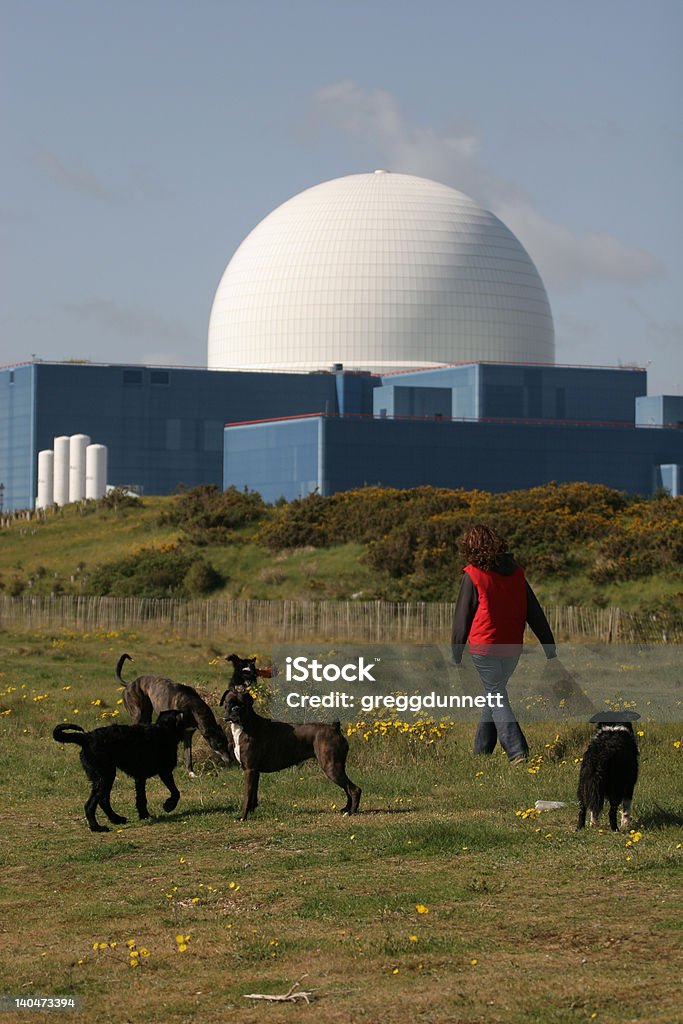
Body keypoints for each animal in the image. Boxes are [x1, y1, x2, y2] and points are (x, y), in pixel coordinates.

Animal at [52, 712, 189, 831]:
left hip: (104, 777)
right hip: (106, 776)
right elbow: (176, 792)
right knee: (91, 804)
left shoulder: (140, 777)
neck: (164, 730)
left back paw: (116, 819)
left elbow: (141, 798)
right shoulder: (165, 771)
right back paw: (97, 827)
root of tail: (86, 737)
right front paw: (168, 806)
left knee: (103, 800)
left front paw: (144, 815)